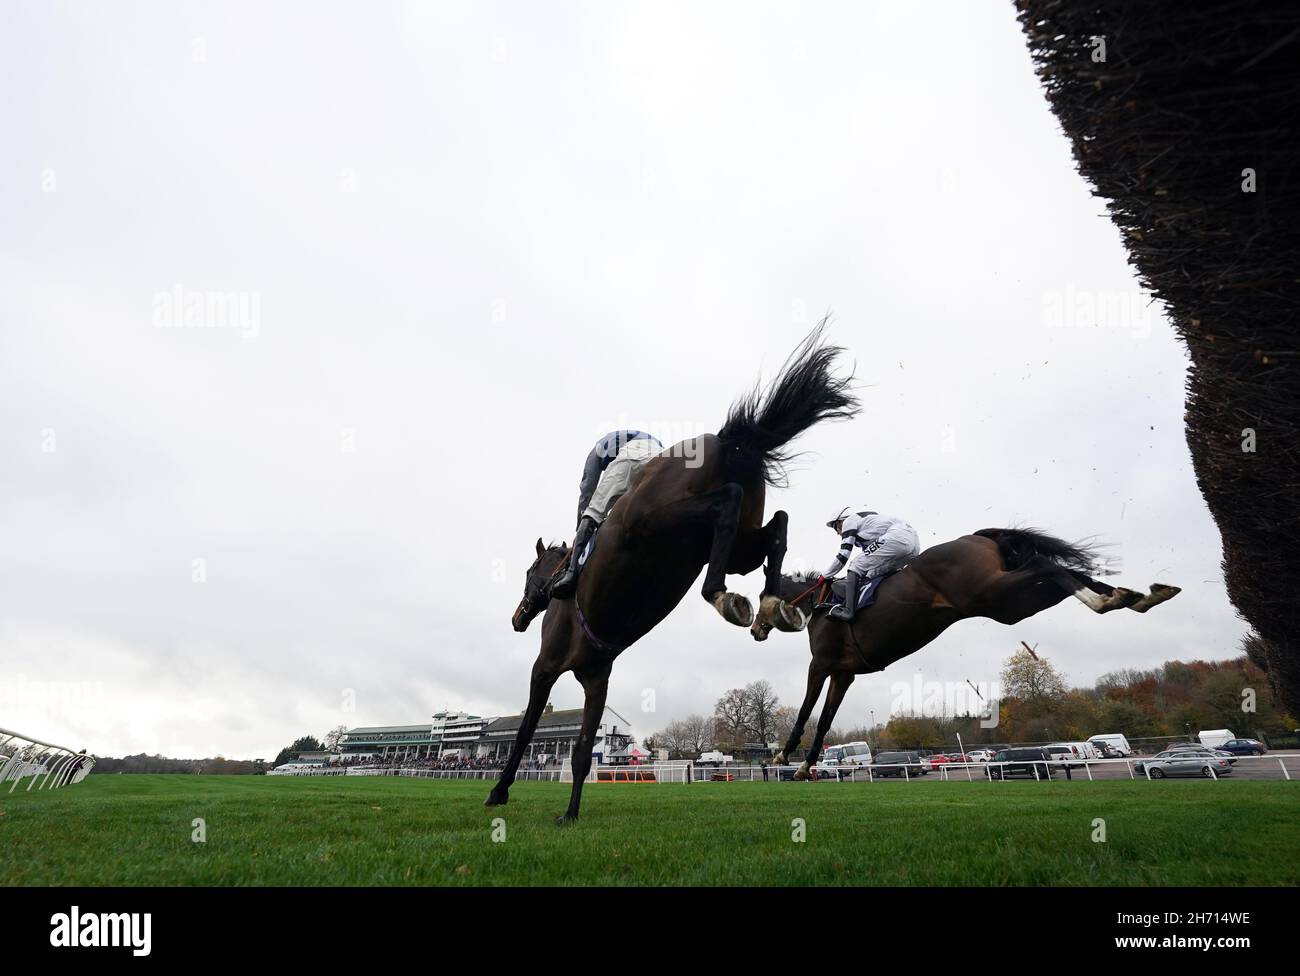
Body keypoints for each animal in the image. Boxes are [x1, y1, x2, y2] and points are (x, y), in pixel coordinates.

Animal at [488, 324, 852, 821]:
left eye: (528, 573)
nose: (517, 617)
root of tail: (724, 441)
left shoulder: (544, 667)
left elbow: (526, 731)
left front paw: (499, 791)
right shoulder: (596, 677)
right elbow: (581, 751)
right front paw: (571, 812)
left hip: (656, 525)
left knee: (728, 501)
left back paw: (724, 597)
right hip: (730, 545)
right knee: (776, 523)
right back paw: (774, 606)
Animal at [764, 527, 1185, 779]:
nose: (754, 630)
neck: (818, 604)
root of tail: (976, 536)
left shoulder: (821, 664)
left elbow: (806, 709)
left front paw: (784, 757)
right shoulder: (844, 673)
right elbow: (824, 720)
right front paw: (804, 766)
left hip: (995, 596)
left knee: (1042, 564)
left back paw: (1106, 600)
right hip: (1011, 604)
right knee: (1060, 572)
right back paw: (1134, 596)